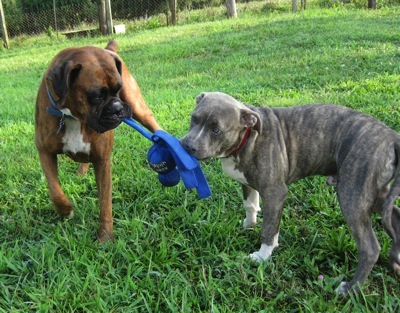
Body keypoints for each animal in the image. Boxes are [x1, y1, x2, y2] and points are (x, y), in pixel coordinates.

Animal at [34, 39, 159, 240]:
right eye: (97, 96)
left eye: (118, 89)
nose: (118, 108)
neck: (73, 116)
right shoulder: (44, 151)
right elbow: (54, 189)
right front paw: (65, 209)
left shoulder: (102, 160)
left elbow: (105, 202)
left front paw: (106, 237)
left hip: (140, 109)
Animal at [180, 91, 400, 294]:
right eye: (194, 119)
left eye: (216, 130)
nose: (188, 146)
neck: (248, 137)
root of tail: (392, 138)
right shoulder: (249, 183)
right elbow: (251, 205)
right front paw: (248, 226)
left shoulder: (275, 192)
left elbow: (268, 228)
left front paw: (262, 256)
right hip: (372, 193)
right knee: (394, 216)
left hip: (352, 195)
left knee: (370, 248)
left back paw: (351, 288)